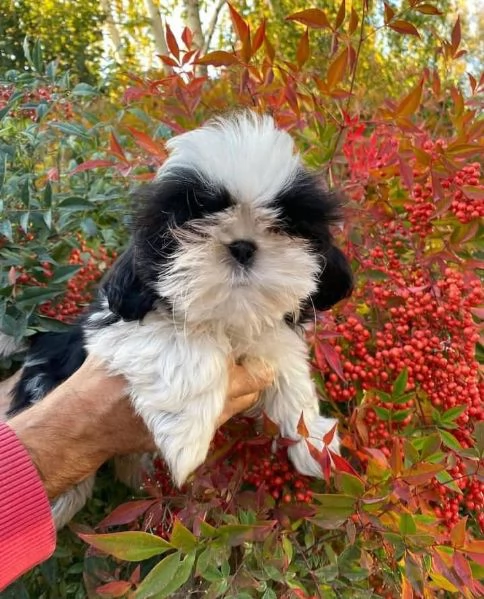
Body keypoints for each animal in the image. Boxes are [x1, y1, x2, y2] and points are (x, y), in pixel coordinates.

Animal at [4, 111, 352, 524]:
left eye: (282, 226)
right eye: (192, 222)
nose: (243, 245)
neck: (227, 319)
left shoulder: (273, 335)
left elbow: (290, 374)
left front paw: (314, 439)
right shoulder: (116, 322)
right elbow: (180, 342)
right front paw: (187, 436)